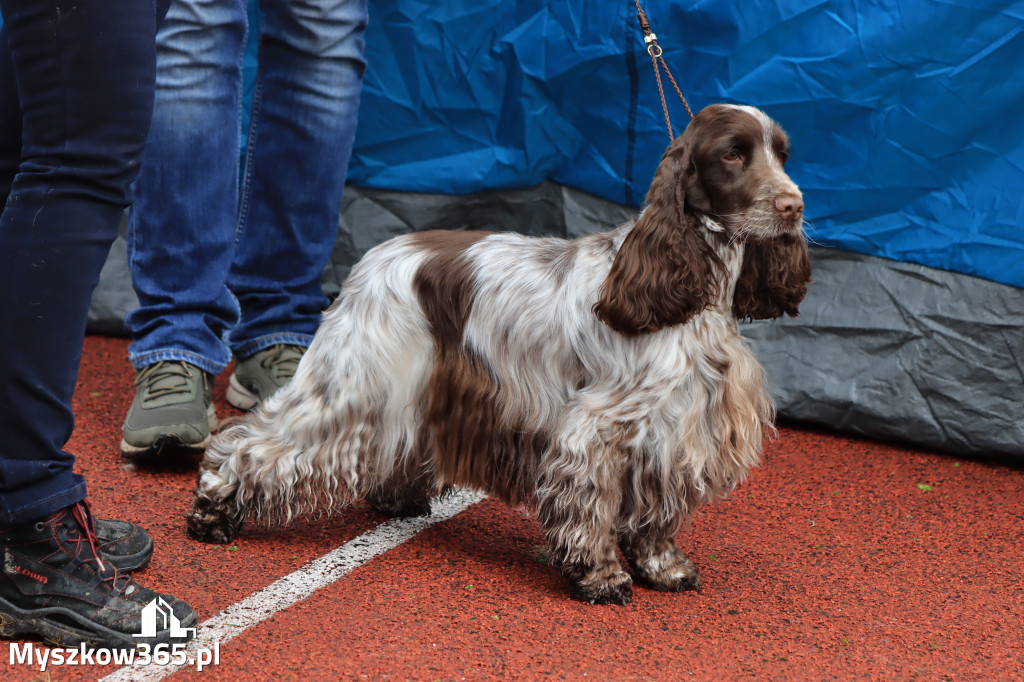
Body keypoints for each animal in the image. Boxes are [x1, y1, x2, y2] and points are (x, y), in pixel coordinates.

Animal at [188, 103, 811, 602]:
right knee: (252, 442)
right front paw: (602, 577)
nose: (793, 206)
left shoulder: (676, 429)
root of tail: (381, 249)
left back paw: (397, 499)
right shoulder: (595, 431)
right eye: (732, 154)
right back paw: (213, 512)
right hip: (353, 379)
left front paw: (665, 567)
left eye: (783, 154)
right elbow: (593, 509)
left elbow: (658, 512)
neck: (695, 290)